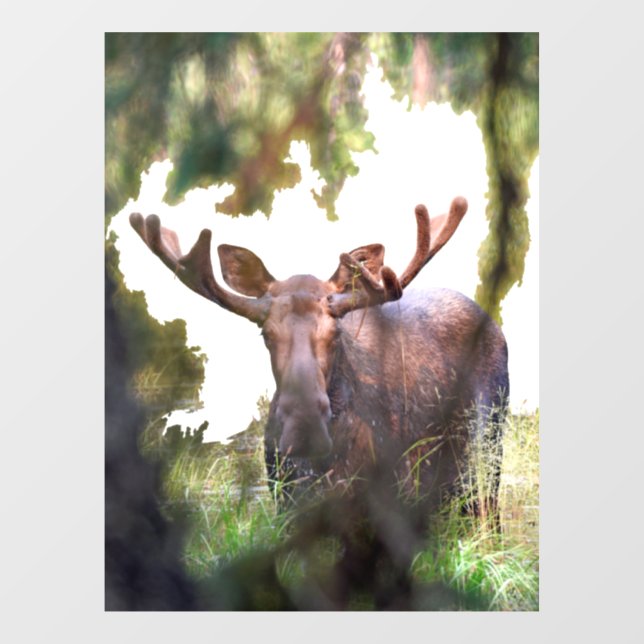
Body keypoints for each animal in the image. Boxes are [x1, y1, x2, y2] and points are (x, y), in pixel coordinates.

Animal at [129, 198, 509, 607]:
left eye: (335, 330)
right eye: (265, 333)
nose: (305, 424)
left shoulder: (397, 498)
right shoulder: (287, 505)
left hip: (486, 448)